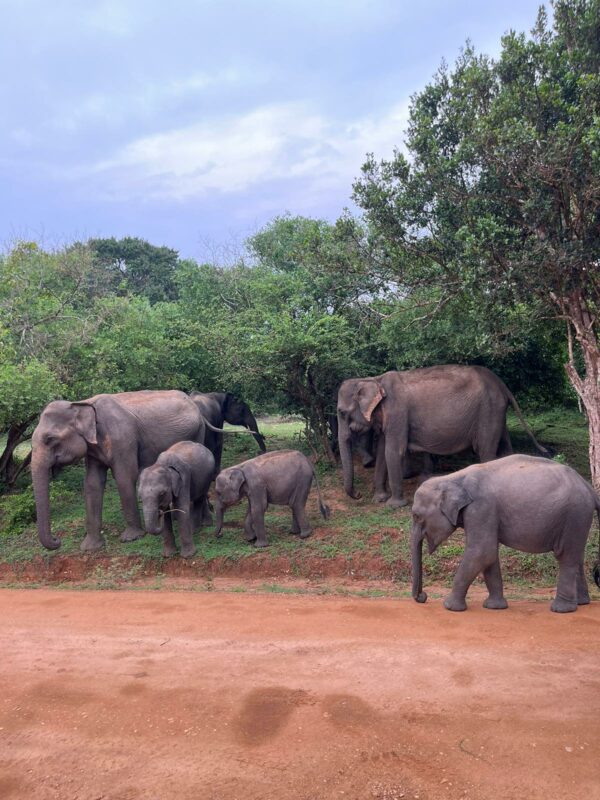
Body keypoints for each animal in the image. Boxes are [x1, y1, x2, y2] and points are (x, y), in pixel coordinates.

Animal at [31, 390, 241, 552]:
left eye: (49, 439)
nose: (57, 540)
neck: (83, 403)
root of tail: (194, 404)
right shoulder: (93, 449)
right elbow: (92, 483)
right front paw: (90, 548)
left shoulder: (123, 440)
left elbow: (125, 476)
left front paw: (131, 538)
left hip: (197, 432)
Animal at [336, 364, 552, 506]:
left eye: (341, 412)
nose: (358, 495)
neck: (373, 379)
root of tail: (502, 384)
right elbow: (382, 452)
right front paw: (379, 499)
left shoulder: (398, 412)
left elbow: (393, 451)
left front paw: (393, 505)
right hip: (498, 412)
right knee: (504, 446)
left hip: (489, 411)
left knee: (486, 450)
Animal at [408, 456, 600, 612]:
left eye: (416, 516)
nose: (422, 597)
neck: (452, 478)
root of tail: (589, 488)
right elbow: (490, 554)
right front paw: (494, 607)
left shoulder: (481, 507)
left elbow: (482, 552)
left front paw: (449, 607)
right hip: (578, 518)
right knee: (577, 557)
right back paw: (581, 603)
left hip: (575, 514)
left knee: (565, 556)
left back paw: (561, 609)